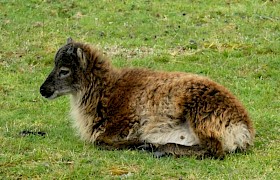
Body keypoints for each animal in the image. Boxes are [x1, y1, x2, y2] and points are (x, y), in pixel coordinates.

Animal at [40, 37, 256, 158]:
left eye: (64, 70)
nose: (43, 90)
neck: (106, 90)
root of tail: (243, 128)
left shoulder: (123, 124)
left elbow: (100, 141)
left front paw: (139, 143)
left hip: (201, 115)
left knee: (215, 150)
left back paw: (157, 148)